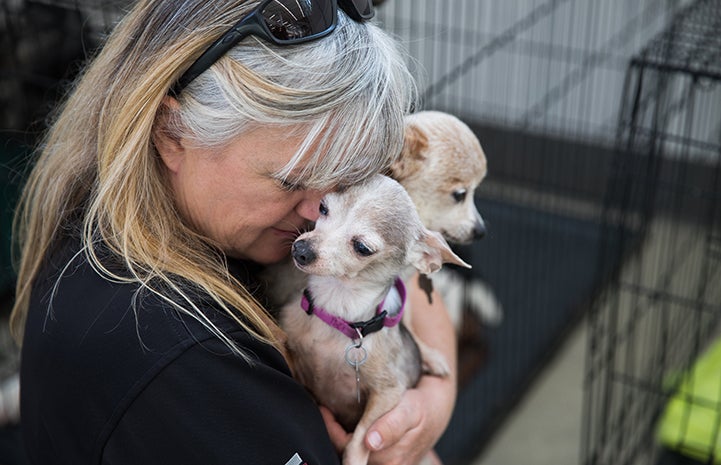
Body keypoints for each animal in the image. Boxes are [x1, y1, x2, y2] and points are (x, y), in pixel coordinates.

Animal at [276, 174, 466, 464]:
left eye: (362, 248)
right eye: (323, 208)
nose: (301, 249)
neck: (338, 311)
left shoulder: (389, 393)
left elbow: (361, 437)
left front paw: (353, 458)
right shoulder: (295, 357)